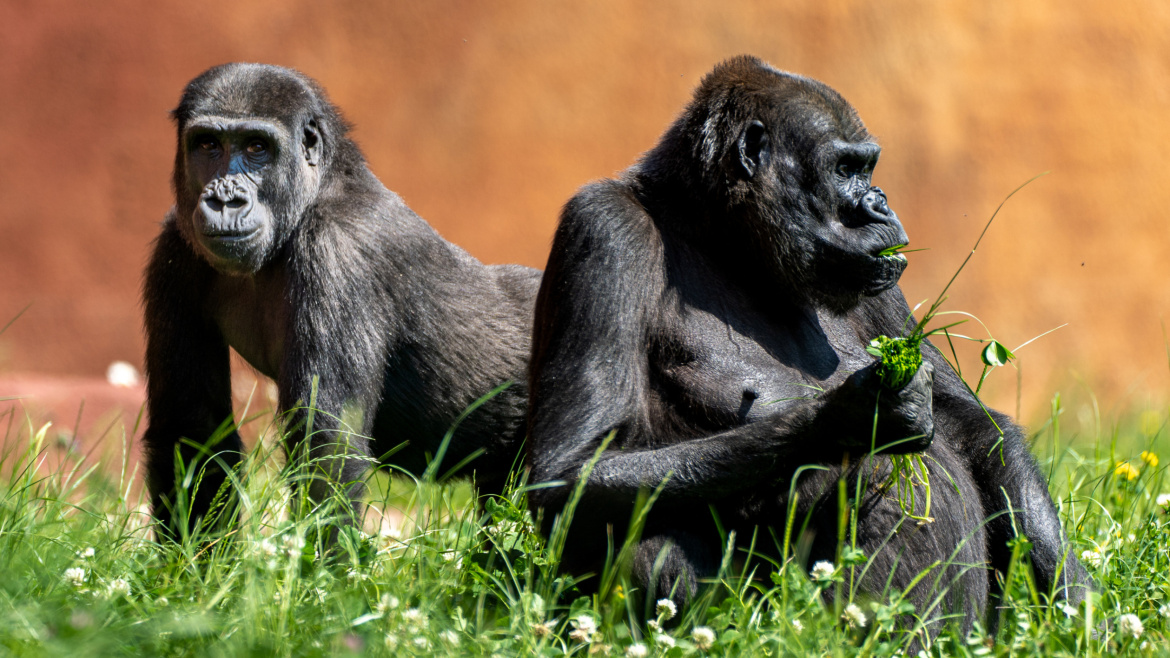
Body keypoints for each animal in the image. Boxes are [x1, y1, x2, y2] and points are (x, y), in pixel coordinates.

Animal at [141, 64, 538, 538]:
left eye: (257, 147)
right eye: (207, 145)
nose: (225, 200)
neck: (315, 192)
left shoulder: (337, 250)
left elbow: (327, 450)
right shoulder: (176, 248)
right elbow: (191, 428)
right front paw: (192, 557)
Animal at [526, 56, 1090, 632]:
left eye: (868, 168)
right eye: (844, 170)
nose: (880, 205)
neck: (720, 238)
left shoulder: (880, 281)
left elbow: (971, 426)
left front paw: (1072, 597)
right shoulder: (606, 228)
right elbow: (572, 472)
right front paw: (856, 416)